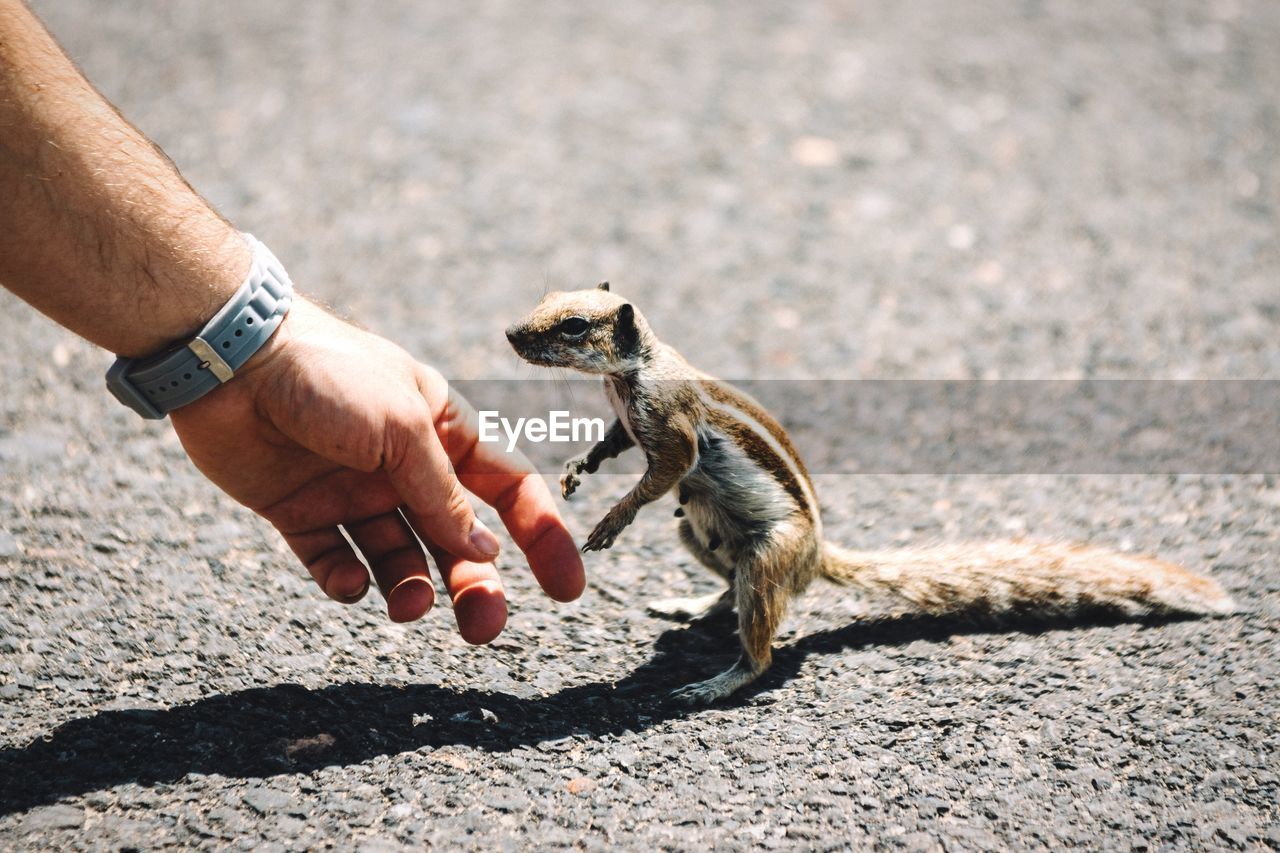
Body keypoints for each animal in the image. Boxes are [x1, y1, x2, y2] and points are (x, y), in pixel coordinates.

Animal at [504, 281, 1233, 701]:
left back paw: (713, 683)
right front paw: (578, 467)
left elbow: (663, 470)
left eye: (573, 325)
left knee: (761, 643)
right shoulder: (630, 425)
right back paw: (690, 603)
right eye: (542, 298)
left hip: (769, 553)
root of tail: (815, 557)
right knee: (727, 587)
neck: (631, 371)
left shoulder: (672, 426)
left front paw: (611, 518)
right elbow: (612, 443)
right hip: (696, 530)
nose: (511, 332)